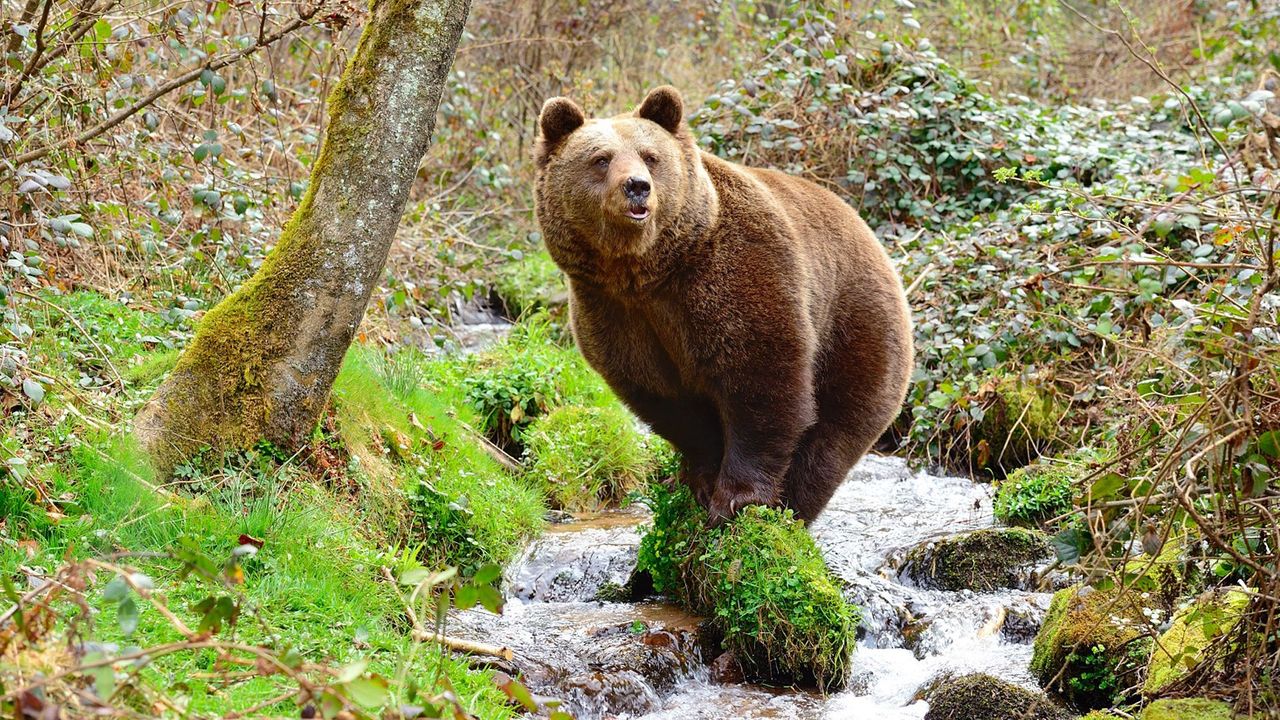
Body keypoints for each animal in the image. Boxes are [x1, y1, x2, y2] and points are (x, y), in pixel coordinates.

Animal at [535, 85, 916, 520]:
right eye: (601, 159)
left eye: (650, 156)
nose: (637, 186)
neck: (647, 270)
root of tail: (873, 237)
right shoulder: (614, 310)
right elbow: (670, 403)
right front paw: (701, 481)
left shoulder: (735, 274)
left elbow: (761, 380)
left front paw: (737, 497)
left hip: (855, 327)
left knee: (833, 434)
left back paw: (793, 506)